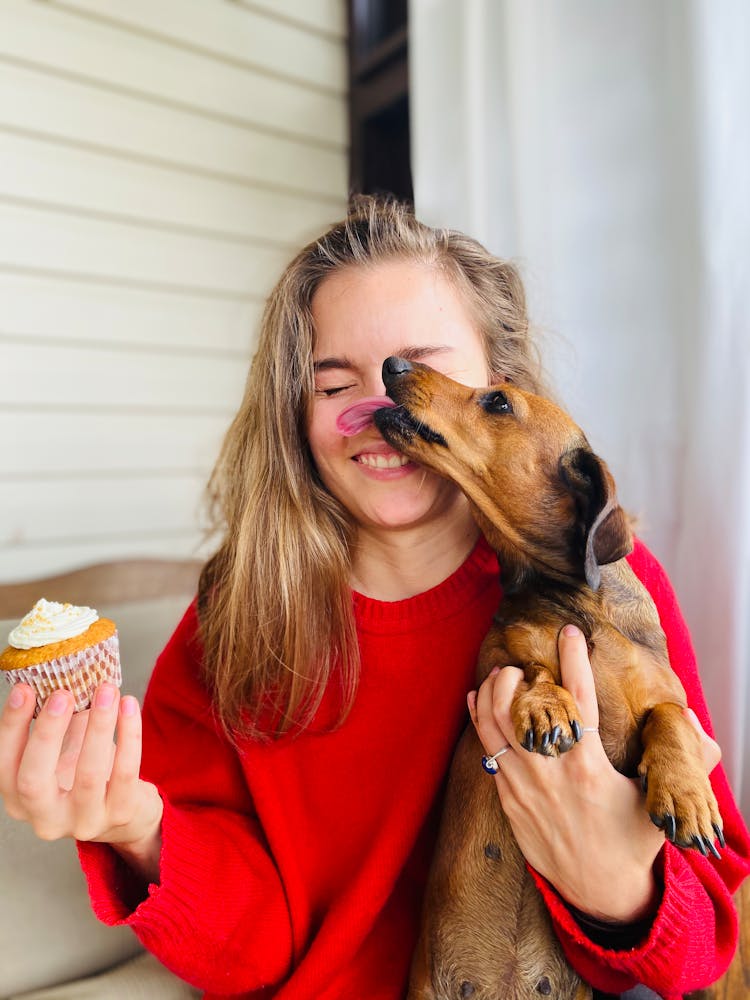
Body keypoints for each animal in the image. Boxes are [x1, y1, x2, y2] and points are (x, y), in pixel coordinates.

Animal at [374, 358, 724, 1000]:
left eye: (498, 402)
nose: (394, 363)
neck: (574, 599)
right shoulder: (495, 662)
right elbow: (530, 664)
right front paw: (547, 705)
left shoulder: (670, 696)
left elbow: (669, 718)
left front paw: (687, 795)